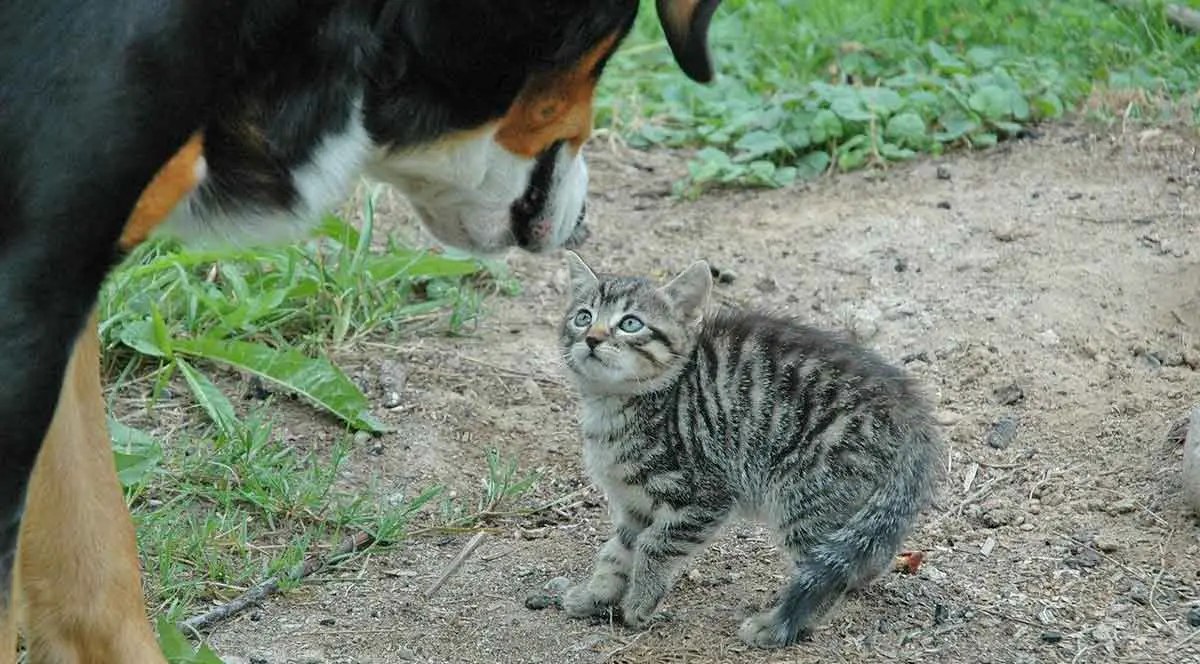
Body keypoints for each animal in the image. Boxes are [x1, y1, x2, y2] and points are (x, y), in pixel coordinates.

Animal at [556, 249, 940, 648]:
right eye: (583, 317)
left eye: (630, 324)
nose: (592, 339)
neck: (613, 406)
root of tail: (911, 412)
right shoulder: (635, 505)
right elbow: (616, 552)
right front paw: (595, 594)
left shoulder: (705, 496)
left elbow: (655, 545)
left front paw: (640, 602)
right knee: (865, 553)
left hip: (806, 496)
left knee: (827, 572)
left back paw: (776, 626)